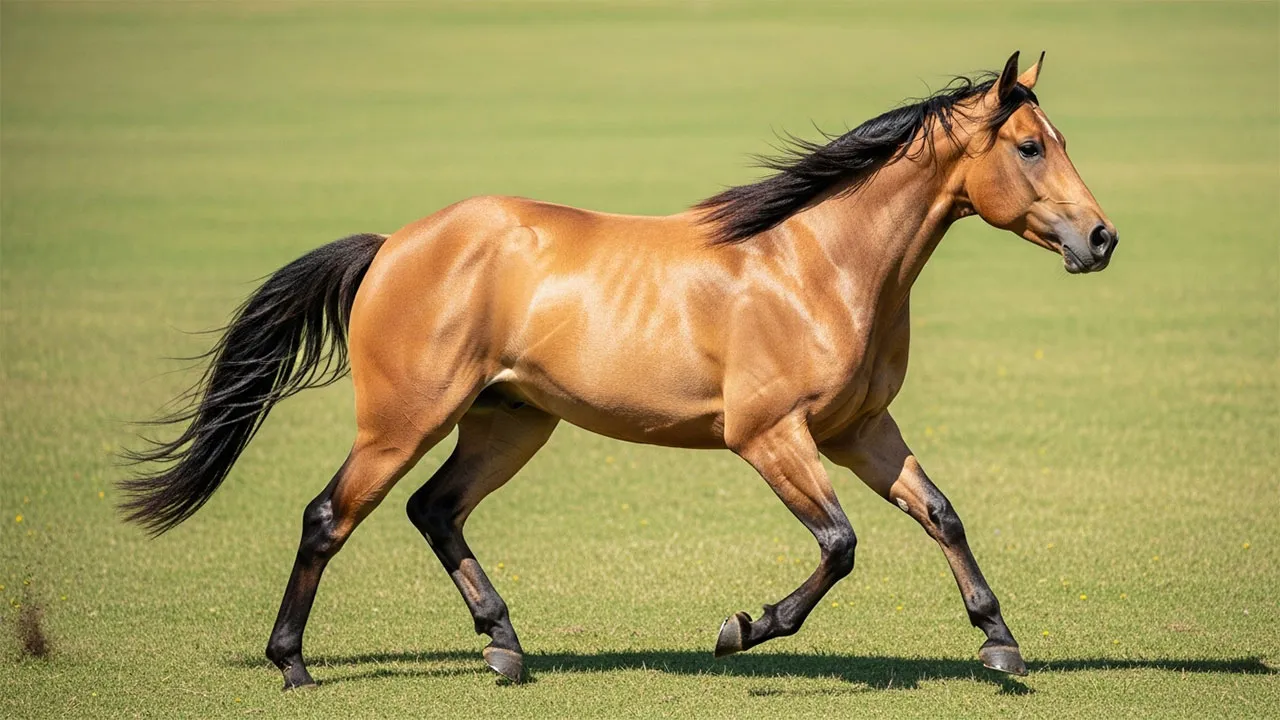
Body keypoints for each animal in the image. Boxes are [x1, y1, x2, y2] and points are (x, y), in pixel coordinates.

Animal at [122, 51, 1117, 689]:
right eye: (1030, 146)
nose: (1101, 239)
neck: (816, 262)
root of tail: (393, 245)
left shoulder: (859, 431)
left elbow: (941, 513)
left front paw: (999, 642)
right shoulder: (769, 436)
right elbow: (839, 545)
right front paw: (742, 629)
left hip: (510, 421)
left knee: (433, 510)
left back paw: (504, 646)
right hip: (404, 421)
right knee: (331, 516)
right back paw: (292, 663)